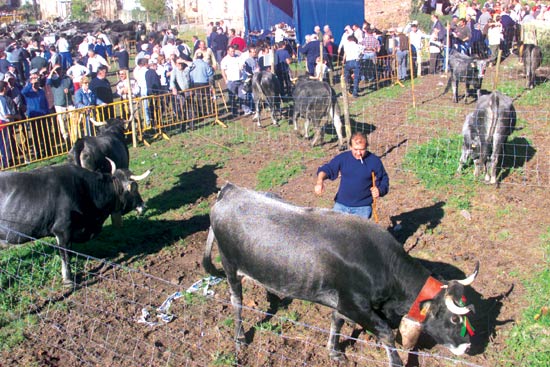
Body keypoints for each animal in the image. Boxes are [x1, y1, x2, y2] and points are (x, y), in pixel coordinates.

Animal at [205, 184, 480, 367]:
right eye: (455, 319)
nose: (468, 345)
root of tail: (230, 190)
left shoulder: (344, 300)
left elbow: (336, 322)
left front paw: (334, 351)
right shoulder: (355, 304)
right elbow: (386, 333)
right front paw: (396, 362)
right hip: (230, 265)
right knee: (236, 302)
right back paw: (240, 337)